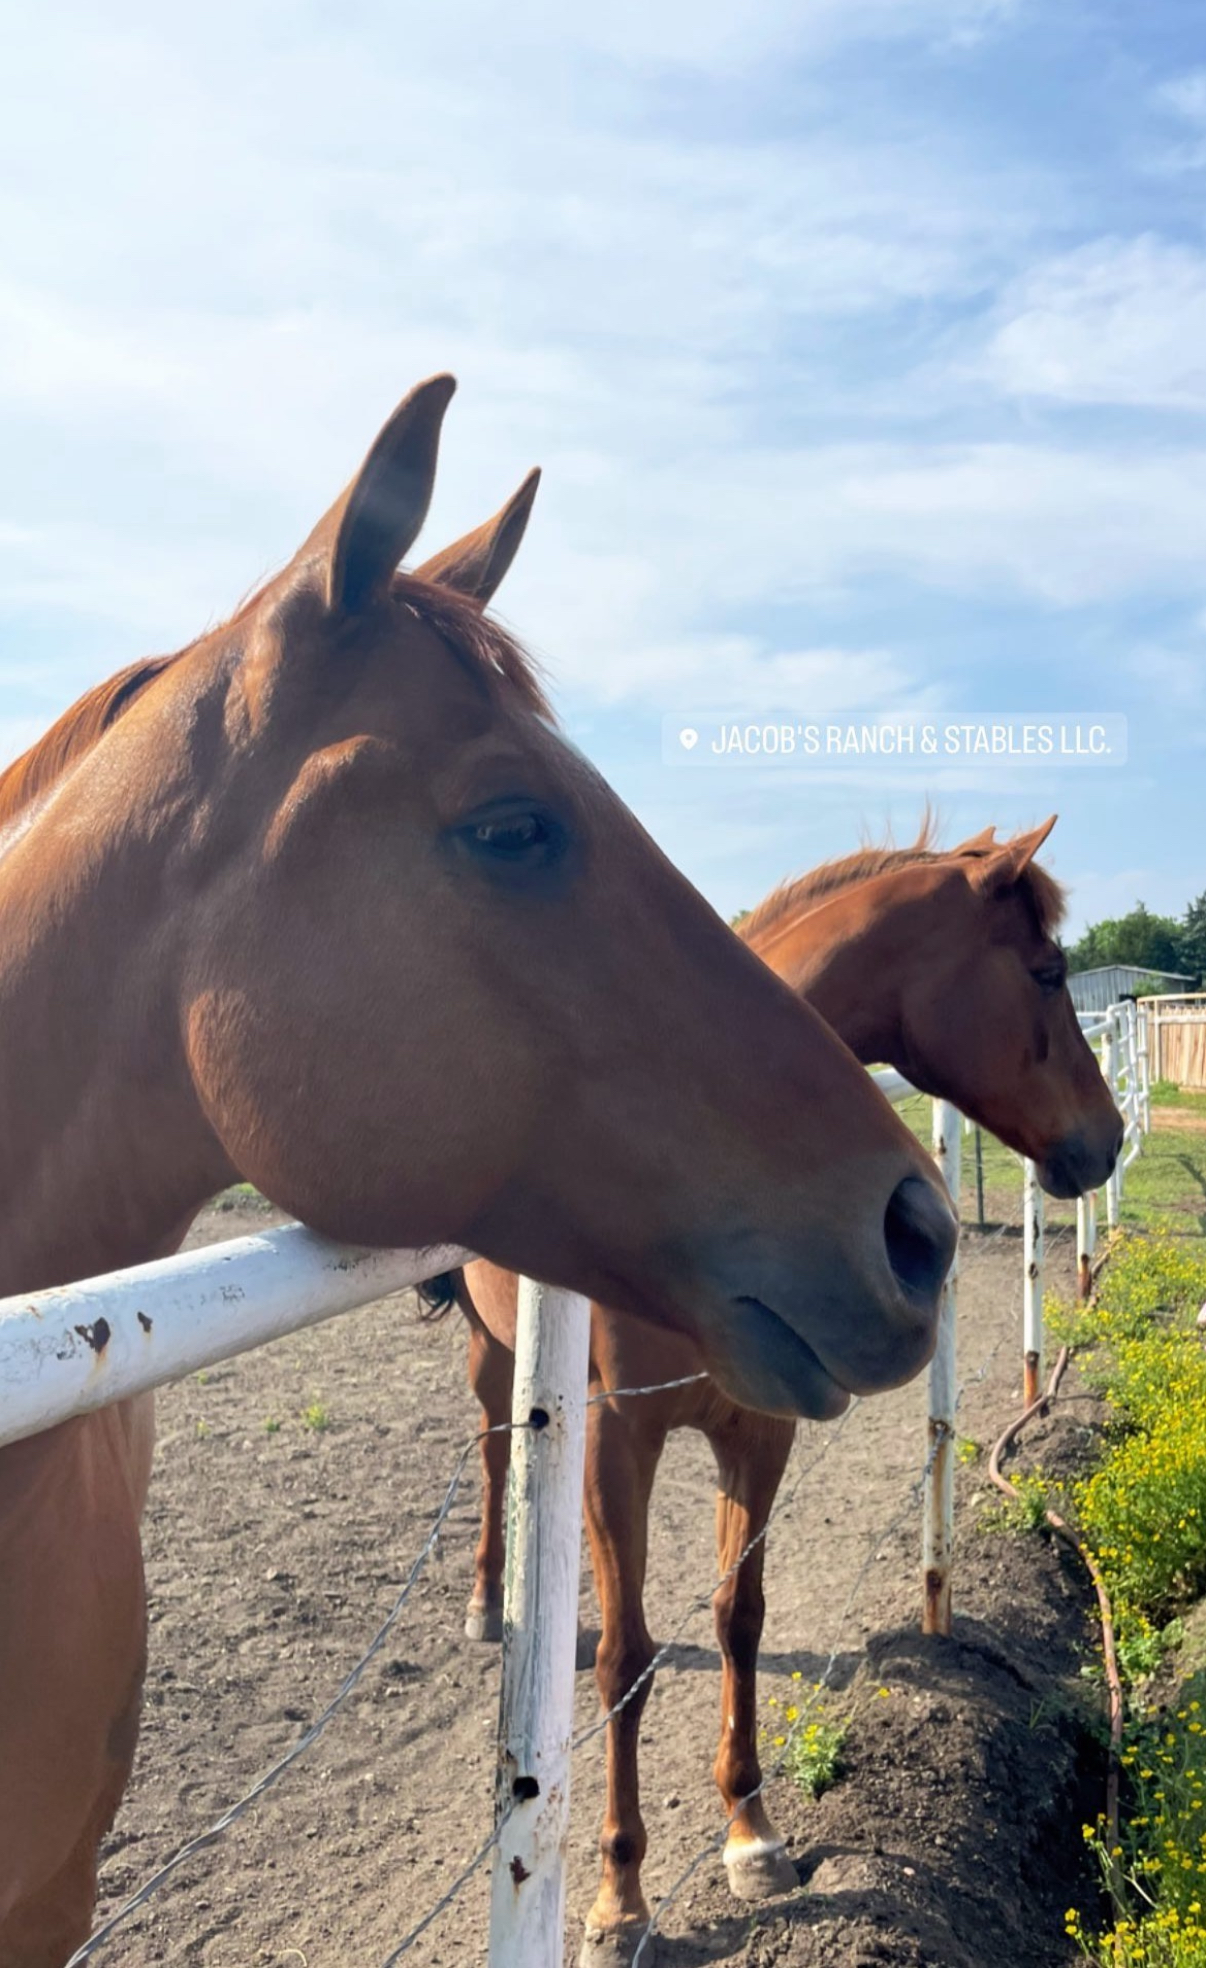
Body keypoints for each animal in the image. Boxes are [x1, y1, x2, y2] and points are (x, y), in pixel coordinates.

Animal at [454, 817, 1123, 1965]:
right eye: (1046, 972)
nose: (1112, 1136)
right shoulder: (616, 1443)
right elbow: (627, 1657)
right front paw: (617, 1899)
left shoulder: (758, 1431)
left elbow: (740, 1617)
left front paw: (752, 1835)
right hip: (495, 1349)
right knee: (499, 1448)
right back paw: (491, 1602)